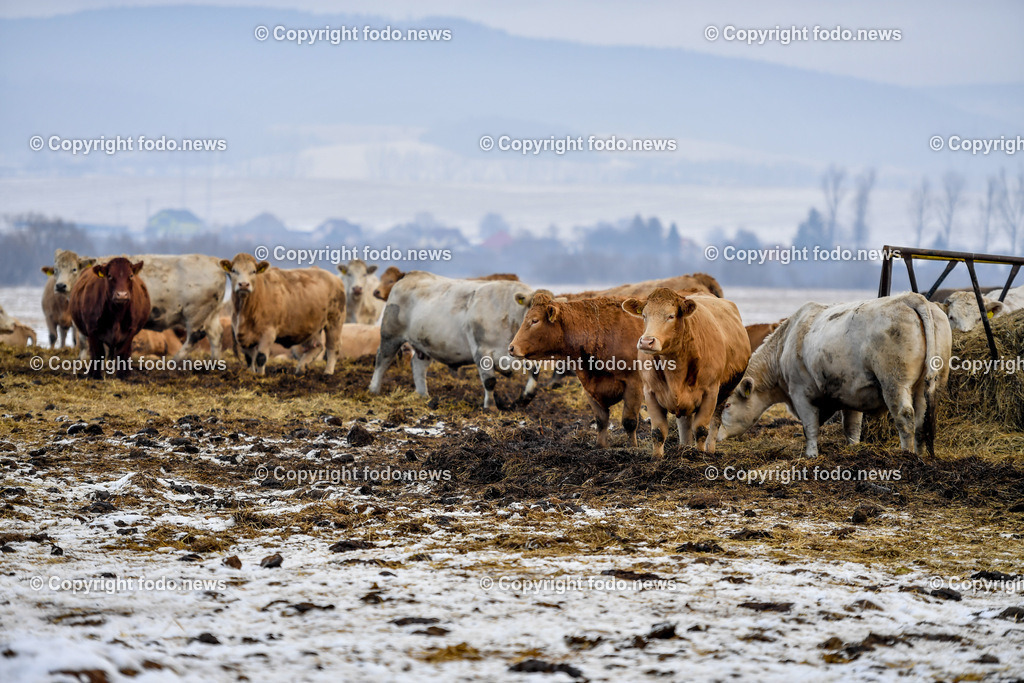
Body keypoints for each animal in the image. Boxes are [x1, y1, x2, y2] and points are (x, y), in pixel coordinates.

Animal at [49, 249, 226, 360]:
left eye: (73, 269)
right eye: (56, 270)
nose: (60, 286)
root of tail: (214, 262)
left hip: (196, 313)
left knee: (195, 336)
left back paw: (175, 361)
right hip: (211, 314)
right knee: (215, 335)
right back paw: (214, 363)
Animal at [369, 272, 537, 409]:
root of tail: (411, 275)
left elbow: (534, 375)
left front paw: (524, 399)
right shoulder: (481, 350)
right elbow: (490, 381)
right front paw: (491, 407)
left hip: (424, 343)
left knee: (418, 365)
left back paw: (423, 395)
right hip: (390, 335)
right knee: (382, 359)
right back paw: (374, 389)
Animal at [509, 292, 644, 447]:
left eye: (535, 320)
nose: (511, 348)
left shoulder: (634, 384)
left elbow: (629, 422)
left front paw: (632, 447)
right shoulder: (589, 387)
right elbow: (601, 420)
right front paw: (600, 446)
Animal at [622, 289, 751, 456]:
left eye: (671, 316)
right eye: (644, 315)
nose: (646, 342)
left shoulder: (710, 392)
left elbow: (701, 429)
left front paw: (699, 456)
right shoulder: (650, 392)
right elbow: (658, 431)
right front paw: (657, 458)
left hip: (725, 392)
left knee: (714, 423)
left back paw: (709, 451)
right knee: (685, 423)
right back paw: (684, 448)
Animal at [719, 293, 952, 458]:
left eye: (728, 405)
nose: (718, 435)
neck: (786, 343)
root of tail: (911, 297)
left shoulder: (801, 394)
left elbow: (810, 427)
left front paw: (811, 455)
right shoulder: (853, 395)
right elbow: (852, 428)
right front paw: (853, 450)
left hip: (894, 383)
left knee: (905, 416)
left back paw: (907, 454)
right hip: (930, 383)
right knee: (922, 418)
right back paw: (920, 455)